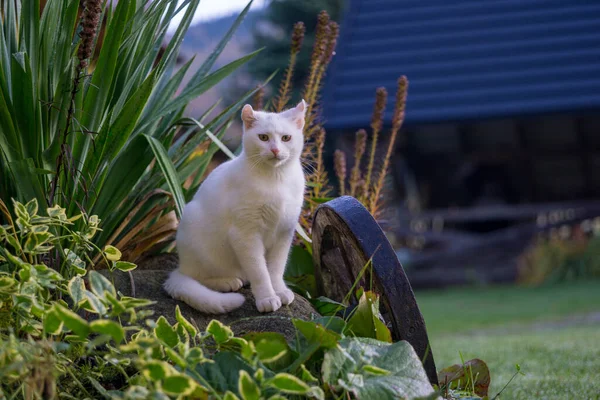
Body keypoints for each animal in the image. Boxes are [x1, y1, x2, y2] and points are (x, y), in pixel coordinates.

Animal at [162, 99, 308, 312]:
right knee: (198, 277)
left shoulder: (284, 232)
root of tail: (180, 267)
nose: (275, 150)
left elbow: (275, 269)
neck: (276, 179)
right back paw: (227, 282)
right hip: (198, 234)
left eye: (286, 138)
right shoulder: (245, 234)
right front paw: (267, 297)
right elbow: (260, 272)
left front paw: (279, 290)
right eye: (263, 137)